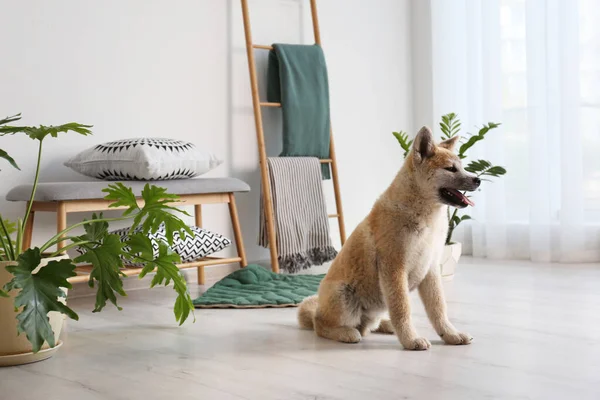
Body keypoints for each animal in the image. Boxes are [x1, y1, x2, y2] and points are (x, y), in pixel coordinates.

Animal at [298, 126, 480, 350]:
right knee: (321, 324)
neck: (424, 216)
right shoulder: (395, 268)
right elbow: (402, 309)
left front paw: (450, 334)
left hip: (373, 307)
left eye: (462, 167)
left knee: (370, 325)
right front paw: (411, 340)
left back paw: (386, 325)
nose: (478, 179)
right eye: (450, 169)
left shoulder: (430, 269)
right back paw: (346, 333)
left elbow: (438, 309)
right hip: (344, 297)